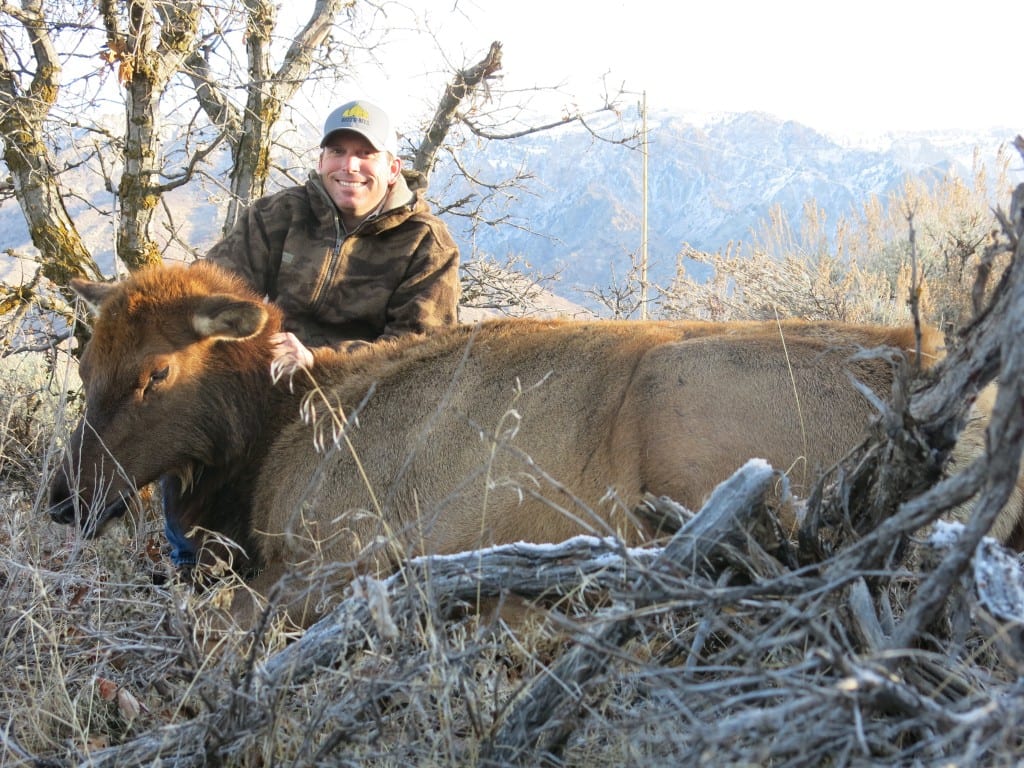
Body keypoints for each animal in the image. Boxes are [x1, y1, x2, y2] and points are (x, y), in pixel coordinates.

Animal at [46, 261, 1019, 627]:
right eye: (85, 360)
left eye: (155, 374)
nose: (63, 497)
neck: (277, 432)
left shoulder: (340, 553)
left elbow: (212, 618)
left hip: (690, 424)